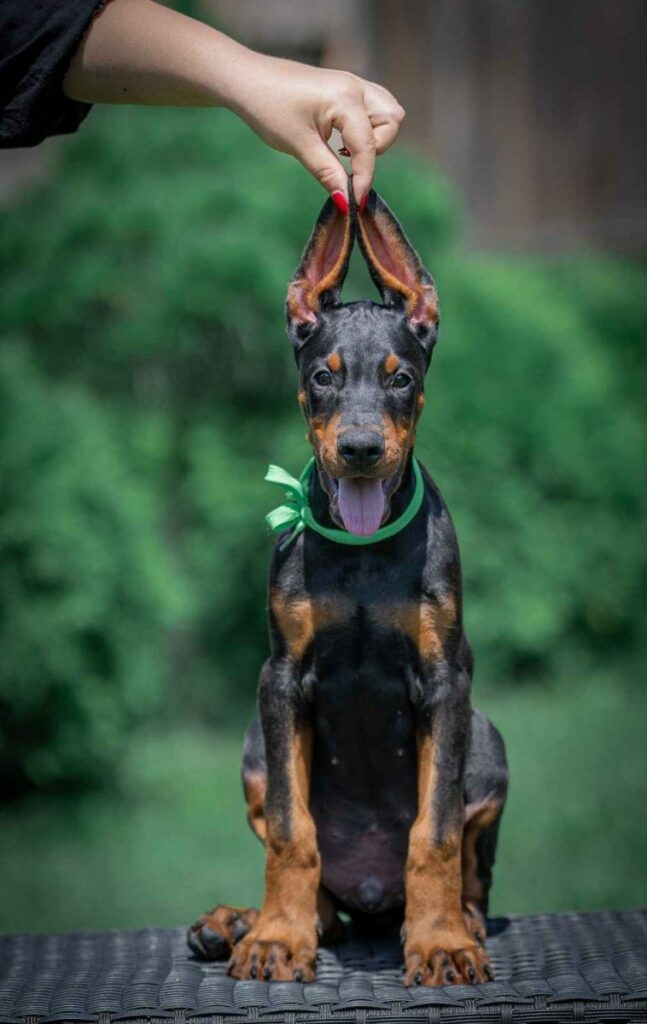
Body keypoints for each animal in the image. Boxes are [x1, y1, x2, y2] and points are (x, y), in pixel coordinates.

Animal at [188, 188, 508, 987]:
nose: (360, 451)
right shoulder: (280, 680)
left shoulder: (446, 680)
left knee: (471, 871)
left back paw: (460, 923)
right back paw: (237, 923)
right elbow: (289, 828)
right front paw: (275, 938)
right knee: (323, 899)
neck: (363, 552)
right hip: (252, 747)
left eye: (401, 377)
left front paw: (440, 944)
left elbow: (435, 831)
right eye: (323, 376)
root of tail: (369, 896)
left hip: (488, 741)